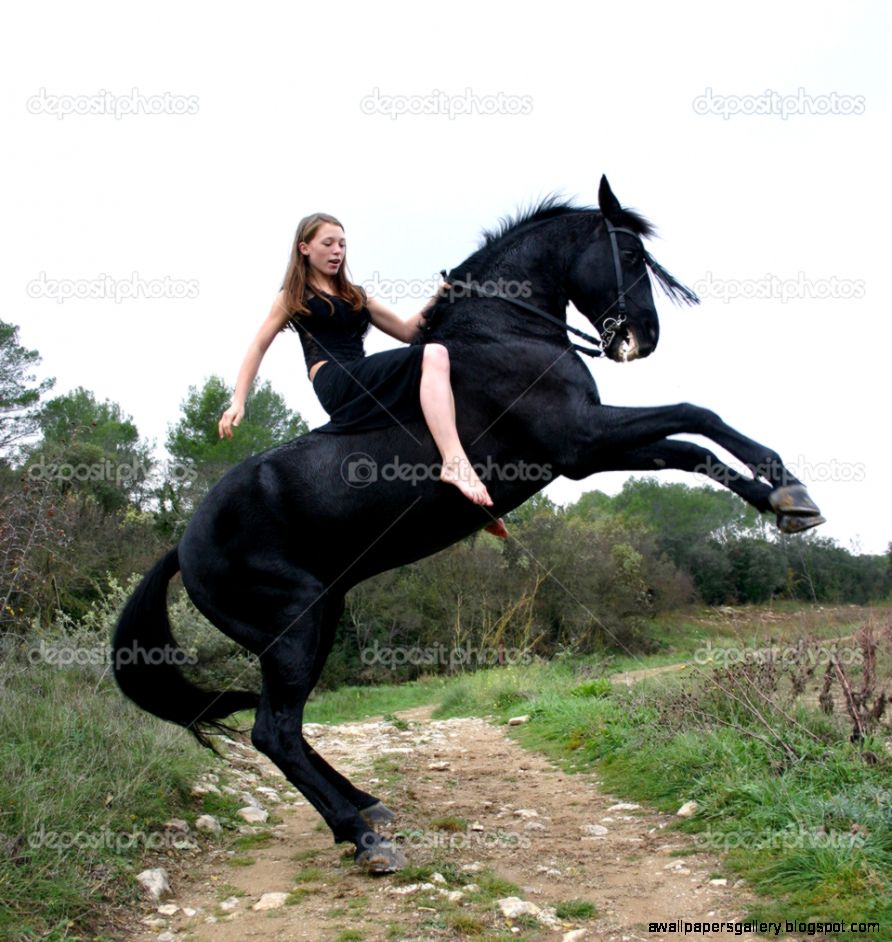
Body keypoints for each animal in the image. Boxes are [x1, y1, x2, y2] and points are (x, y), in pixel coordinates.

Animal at [113, 176, 824, 873]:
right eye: (628, 253)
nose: (641, 339)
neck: (504, 332)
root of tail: (182, 546)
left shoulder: (591, 447)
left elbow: (691, 447)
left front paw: (785, 500)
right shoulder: (582, 442)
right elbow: (695, 414)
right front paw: (788, 487)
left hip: (319, 619)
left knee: (289, 729)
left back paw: (366, 807)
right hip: (294, 629)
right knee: (275, 733)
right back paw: (364, 838)